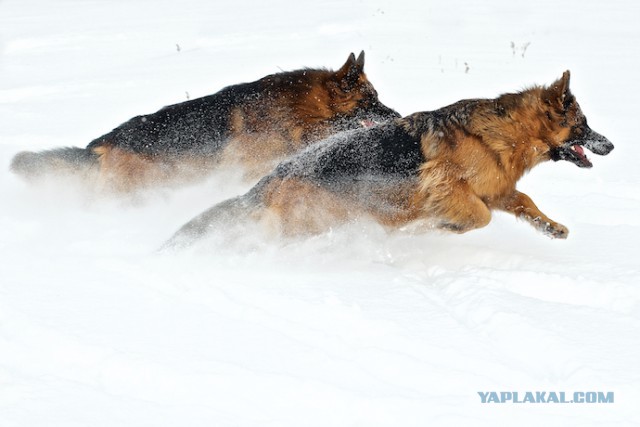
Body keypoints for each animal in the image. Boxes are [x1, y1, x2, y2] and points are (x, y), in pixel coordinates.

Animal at [166, 68, 616, 246]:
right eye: (583, 124)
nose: (610, 145)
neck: (504, 135)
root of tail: (271, 178)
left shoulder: (496, 188)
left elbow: (523, 202)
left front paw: (551, 226)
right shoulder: (450, 187)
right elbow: (478, 216)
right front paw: (438, 227)